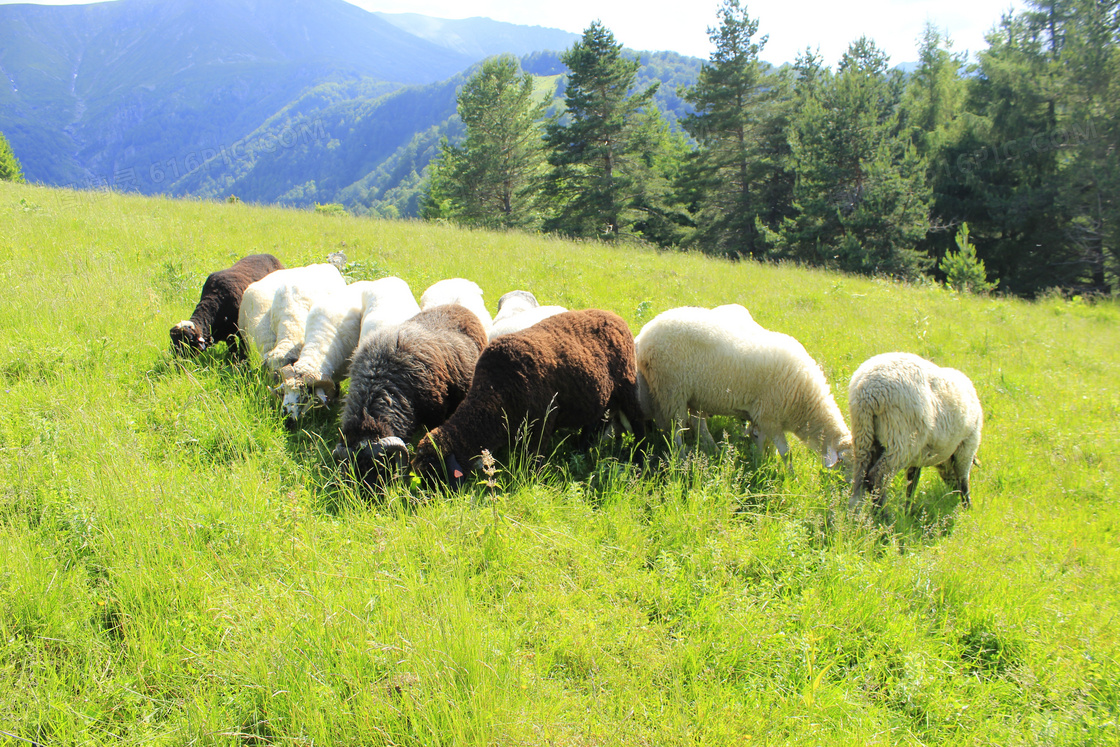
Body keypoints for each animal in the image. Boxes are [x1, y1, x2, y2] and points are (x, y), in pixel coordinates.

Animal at [414, 309, 649, 486]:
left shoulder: (543, 422)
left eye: (434, 473)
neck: (496, 389)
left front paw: (532, 483)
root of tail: (615, 316)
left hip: (627, 383)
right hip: (599, 395)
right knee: (593, 422)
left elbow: (534, 460)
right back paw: (581, 450)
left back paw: (641, 459)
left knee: (638, 421)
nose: (431, 503)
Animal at [631, 306, 846, 463]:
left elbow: (763, 441)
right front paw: (786, 474)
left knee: (695, 424)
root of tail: (645, 332)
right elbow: (785, 452)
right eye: (845, 461)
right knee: (677, 428)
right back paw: (682, 455)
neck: (806, 401)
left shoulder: (764, 416)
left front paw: (761, 461)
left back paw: (711, 449)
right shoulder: (770, 415)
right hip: (672, 390)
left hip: (691, 394)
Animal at [846, 353, 981, 510]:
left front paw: (908, 510)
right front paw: (967, 507)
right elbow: (963, 478)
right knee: (877, 477)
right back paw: (882, 514)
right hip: (901, 439)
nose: (952, 491)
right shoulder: (968, 444)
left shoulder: (918, 457)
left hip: (864, 434)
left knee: (861, 479)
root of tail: (867, 391)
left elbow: (912, 483)